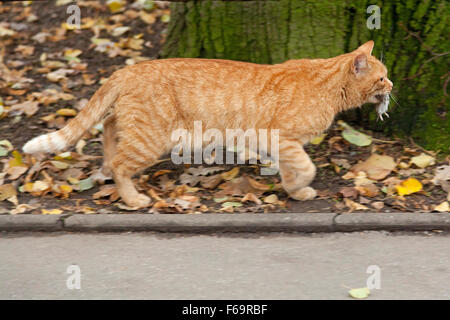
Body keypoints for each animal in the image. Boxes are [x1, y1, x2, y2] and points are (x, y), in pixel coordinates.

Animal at [22, 40, 392, 209]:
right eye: (382, 77)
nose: (391, 86)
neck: (325, 83)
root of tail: (127, 69)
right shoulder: (279, 138)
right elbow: (306, 166)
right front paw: (301, 186)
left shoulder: (279, 144)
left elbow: (291, 169)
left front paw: (294, 190)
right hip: (151, 139)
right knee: (120, 164)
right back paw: (133, 198)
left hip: (131, 124)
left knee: (109, 133)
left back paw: (104, 169)